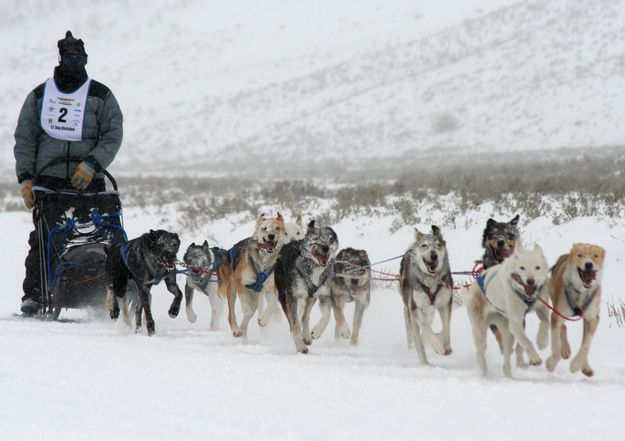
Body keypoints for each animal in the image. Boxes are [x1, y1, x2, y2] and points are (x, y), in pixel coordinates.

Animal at [276, 220, 338, 354]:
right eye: (317, 238)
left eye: (330, 239)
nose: (326, 248)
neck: (313, 267)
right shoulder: (293, 296)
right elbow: (294, 324)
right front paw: (300, 346)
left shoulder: (323, 295)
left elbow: (327, 316)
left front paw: (316, 332)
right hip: (284, 296)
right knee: (294, 320)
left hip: (311, 298)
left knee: (305, 316)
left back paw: (306, 336)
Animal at [400, 225, 454, 362]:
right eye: (424, 245)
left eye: (438, 244)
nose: (433, 255)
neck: (431, 281)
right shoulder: (415, 308)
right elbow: (425, 325)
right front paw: (437, 345)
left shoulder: (445, 304)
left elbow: (446, 326)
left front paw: (445, 344)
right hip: (412, 312)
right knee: (418, 340)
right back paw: (424, 362)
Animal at [464, 242, 552, 376]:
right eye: (522, 268)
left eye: (537, 267)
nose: (530, 281)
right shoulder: (515, 323)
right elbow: (526, 342)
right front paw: (534, 358)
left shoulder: (542, 308)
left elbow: (545, 323)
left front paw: (542, 340)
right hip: (480, 331)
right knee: (480, 353)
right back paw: (484, 374)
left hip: (507, 334)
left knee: (506, 359)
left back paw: (509, 376)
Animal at [544, 242, 604, 376]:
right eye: (580, 255)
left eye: (595, 255)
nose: (588, 264)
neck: (581, 292)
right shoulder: (557, 314)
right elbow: (555, 346)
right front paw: (551, 363)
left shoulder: (592, 318)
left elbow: (586, 345)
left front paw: (577, 365)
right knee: (563, 327)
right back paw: (565, 350)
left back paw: (585, 366)